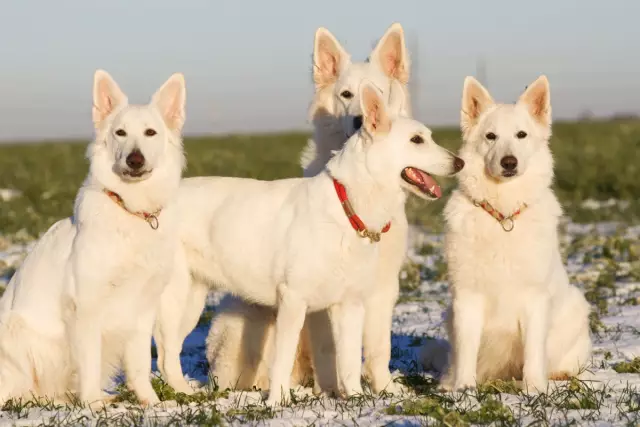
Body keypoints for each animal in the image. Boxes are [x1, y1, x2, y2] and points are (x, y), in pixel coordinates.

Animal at [0, 68, 188, 406]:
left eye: (151, 133)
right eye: (120, 133)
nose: (135, 159)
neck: (130, 210)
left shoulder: (143, 308)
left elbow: (140, 365)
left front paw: (151, 403)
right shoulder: (86, 307)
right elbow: (88, 360)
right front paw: (91, 406)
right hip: (15, 332)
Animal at [155, 79, 462, 404]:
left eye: (428, 137)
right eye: (417, 140)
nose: (461, 162)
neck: (346, 208)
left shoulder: (349, 305)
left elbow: (349, 362)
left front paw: (355, 397)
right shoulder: (293, 301)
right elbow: (283, 359)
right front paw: (277, 402)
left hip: (191, 301)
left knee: (167, 353)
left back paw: (185, 392)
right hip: (175, 298)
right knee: (164, 352)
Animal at [202, 22, 418, 398]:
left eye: (377, 93)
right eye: (346, 94)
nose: (362, 120)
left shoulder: (380, 286)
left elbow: (379, 347)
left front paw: (384, 388)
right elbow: (327, 347)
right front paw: (333, 392)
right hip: (250, 314)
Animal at [422, 76, 592, 392]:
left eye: (521, 135)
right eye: (491, 136)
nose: (509, 162)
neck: (503, 215)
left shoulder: (535, 299)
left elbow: (534, 352)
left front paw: (535, 390)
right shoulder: (467, 298)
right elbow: (466, 351)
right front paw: (464, 391)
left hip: (576, 307)